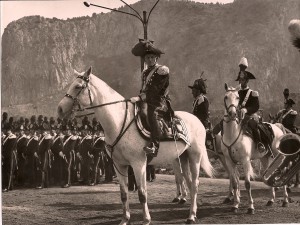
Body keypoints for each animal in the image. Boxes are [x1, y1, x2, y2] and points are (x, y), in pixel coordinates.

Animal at [56, 67, 213, 225]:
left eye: (78, 86)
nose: (60, 109)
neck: (119, 122)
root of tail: (197, 120)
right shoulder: (119, 164)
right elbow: (123, 194)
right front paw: (125, 219)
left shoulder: (138, 163)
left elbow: (142, 193)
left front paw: (146, 220)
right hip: (182, 157)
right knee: (188, 181)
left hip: (195, 156)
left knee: (195, 184)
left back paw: (191, 216)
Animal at [221, 83, 290, 214]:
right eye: (226, 97)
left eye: (237, 97)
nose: (232, 113)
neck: (232, 134)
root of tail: (277, 126)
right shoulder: (230, 161)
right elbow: (235, 183)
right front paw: (235, 205)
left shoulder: (245, 161)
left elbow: (247, 184)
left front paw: (250, 207)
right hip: (265, 158)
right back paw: (271, 200)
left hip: (278, 156)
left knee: (281, 172)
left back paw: (285, 201)